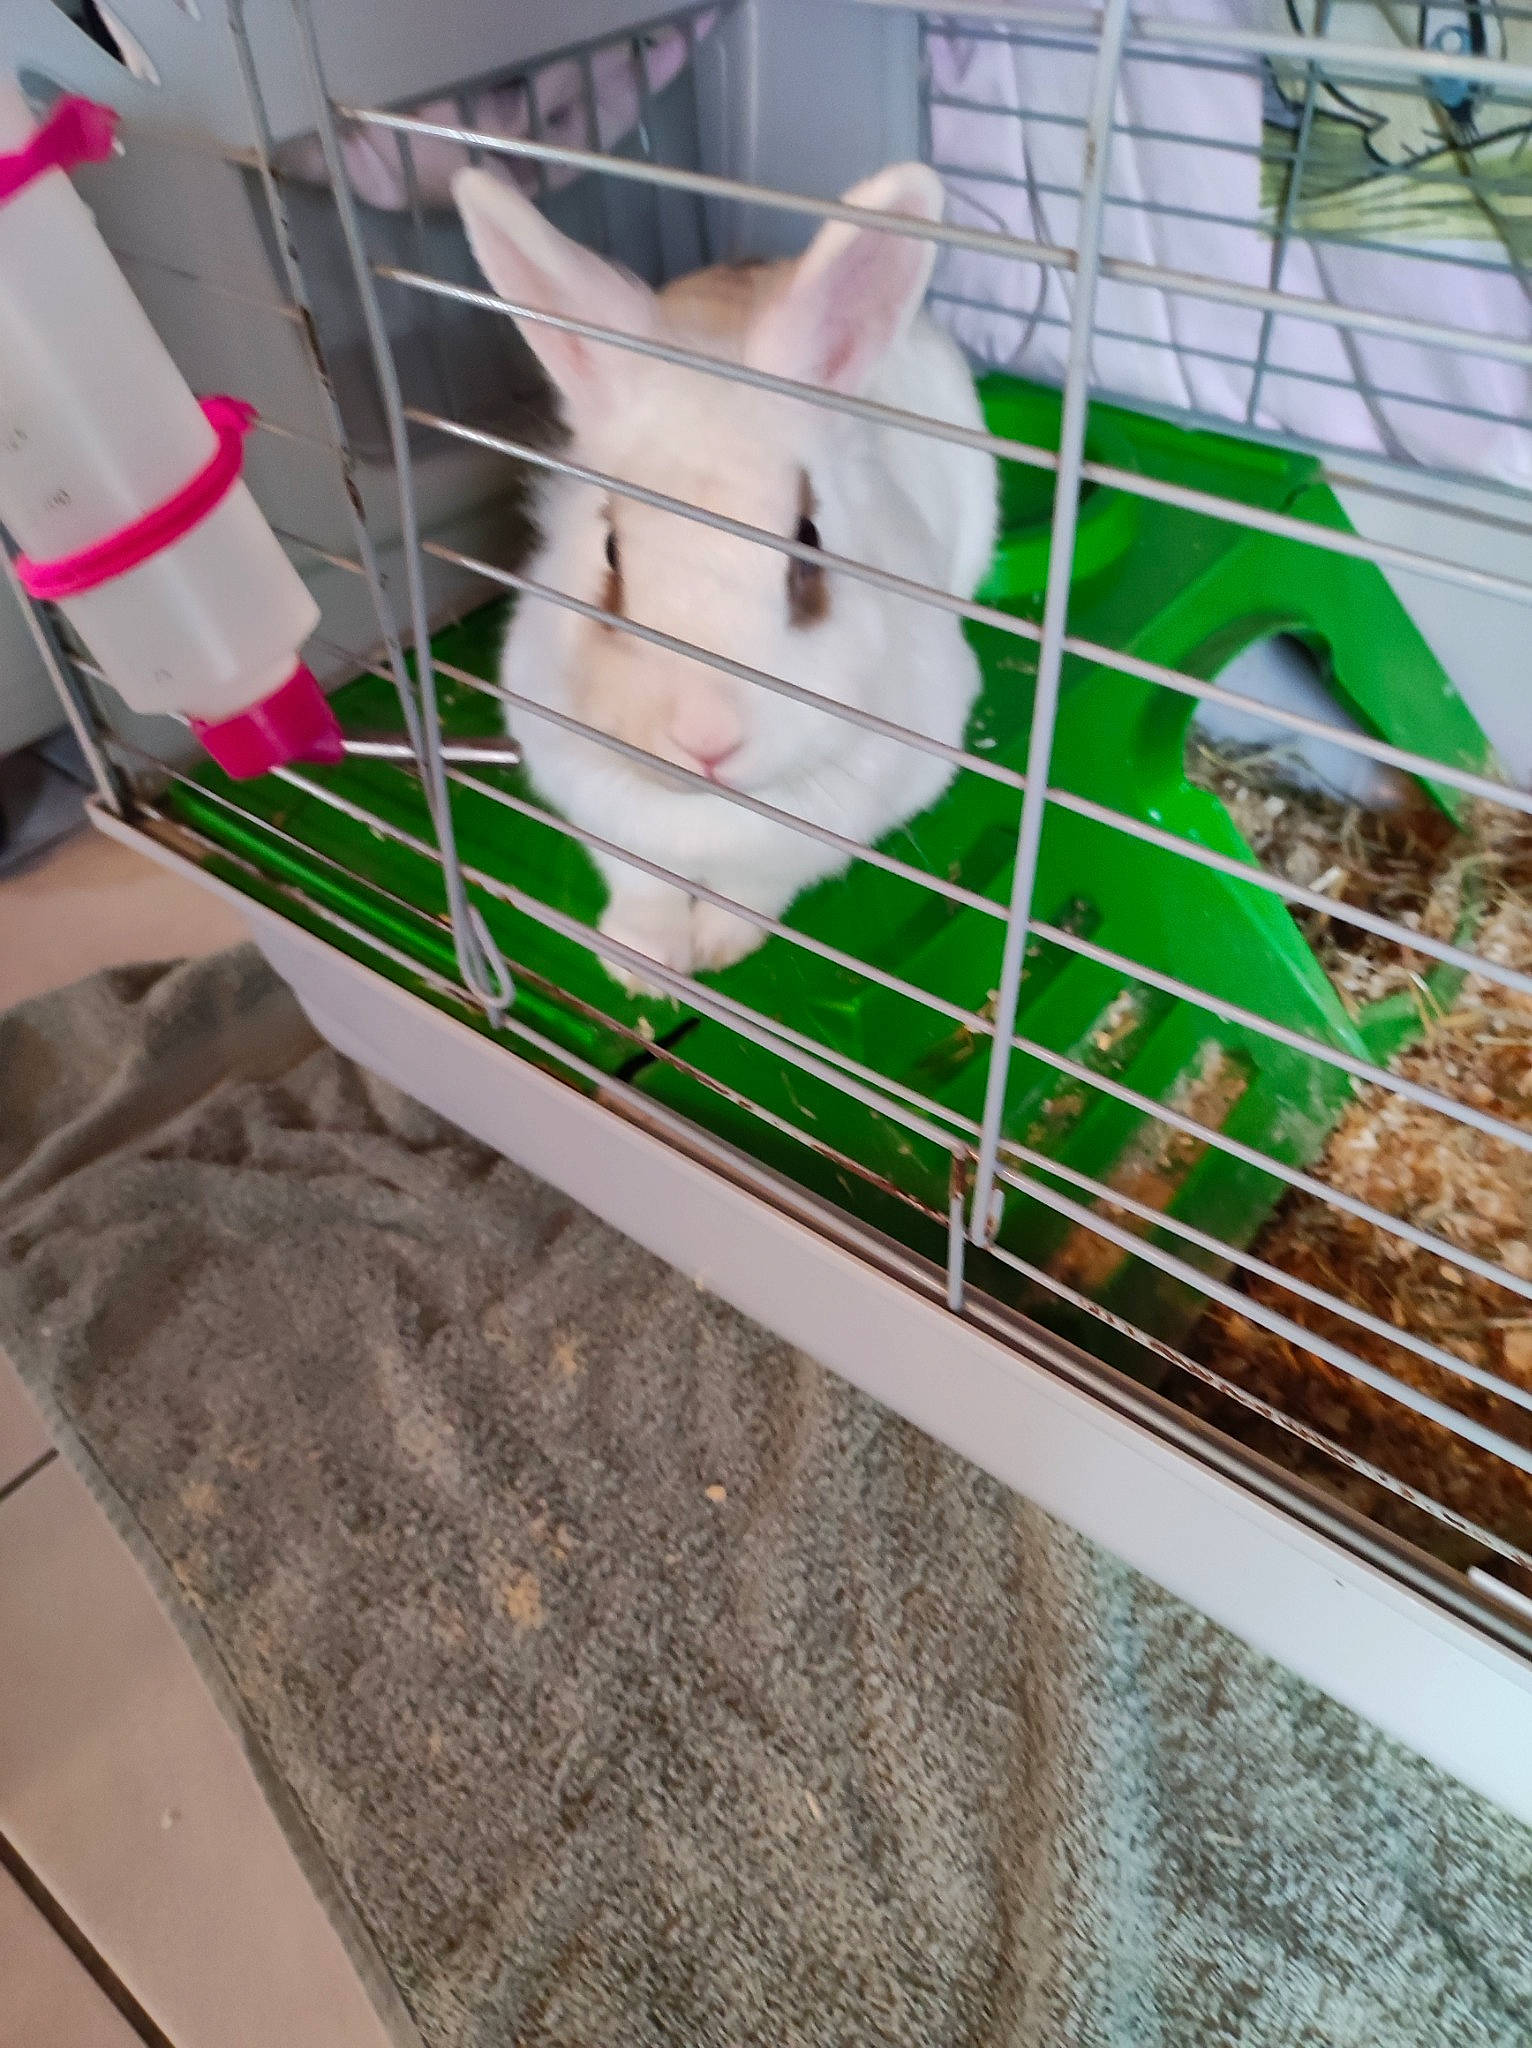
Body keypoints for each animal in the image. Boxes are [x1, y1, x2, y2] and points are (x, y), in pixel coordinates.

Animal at [452, 160, 997, 988]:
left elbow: (753, 888)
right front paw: (639, 964)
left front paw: (716, 946)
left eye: (808, 545)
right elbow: (640, 883)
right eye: (611, 553)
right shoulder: (595, 799)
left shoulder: (822, 830)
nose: (706, 740)